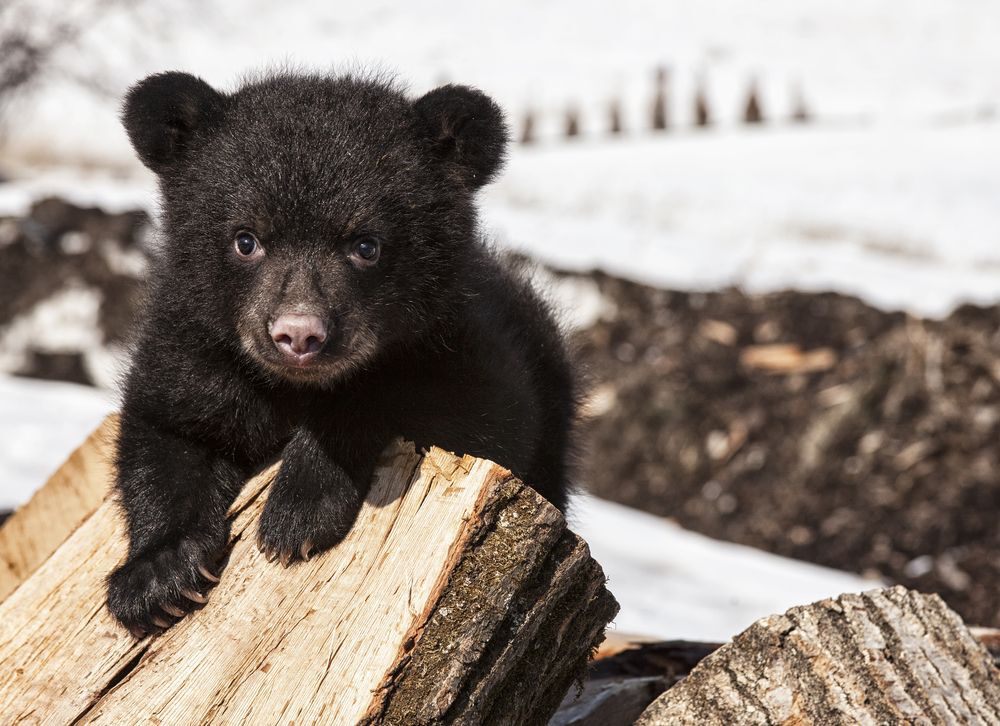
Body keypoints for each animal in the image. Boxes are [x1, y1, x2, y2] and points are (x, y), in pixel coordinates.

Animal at [105, 70, 577, 637]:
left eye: (366, 245)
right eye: (246, 239)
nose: (299, 335)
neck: (292, 386)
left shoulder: (467, 351)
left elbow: (472, 417)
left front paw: (298, 513)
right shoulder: (192, 350)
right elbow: (165, 431)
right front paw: (159, 578)